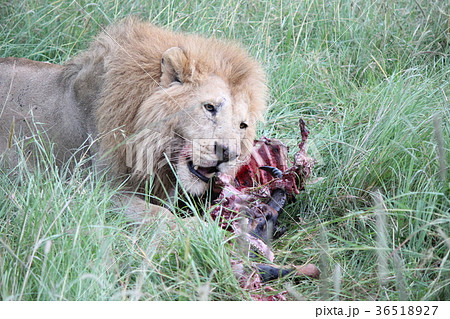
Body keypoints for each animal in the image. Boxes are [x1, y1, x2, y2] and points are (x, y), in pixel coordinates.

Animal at [0, 17, 268, 224]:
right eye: (209, 107)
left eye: (242, 126)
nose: (227, 153)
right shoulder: (90, 189)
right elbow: (158, 215)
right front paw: (200, 230)